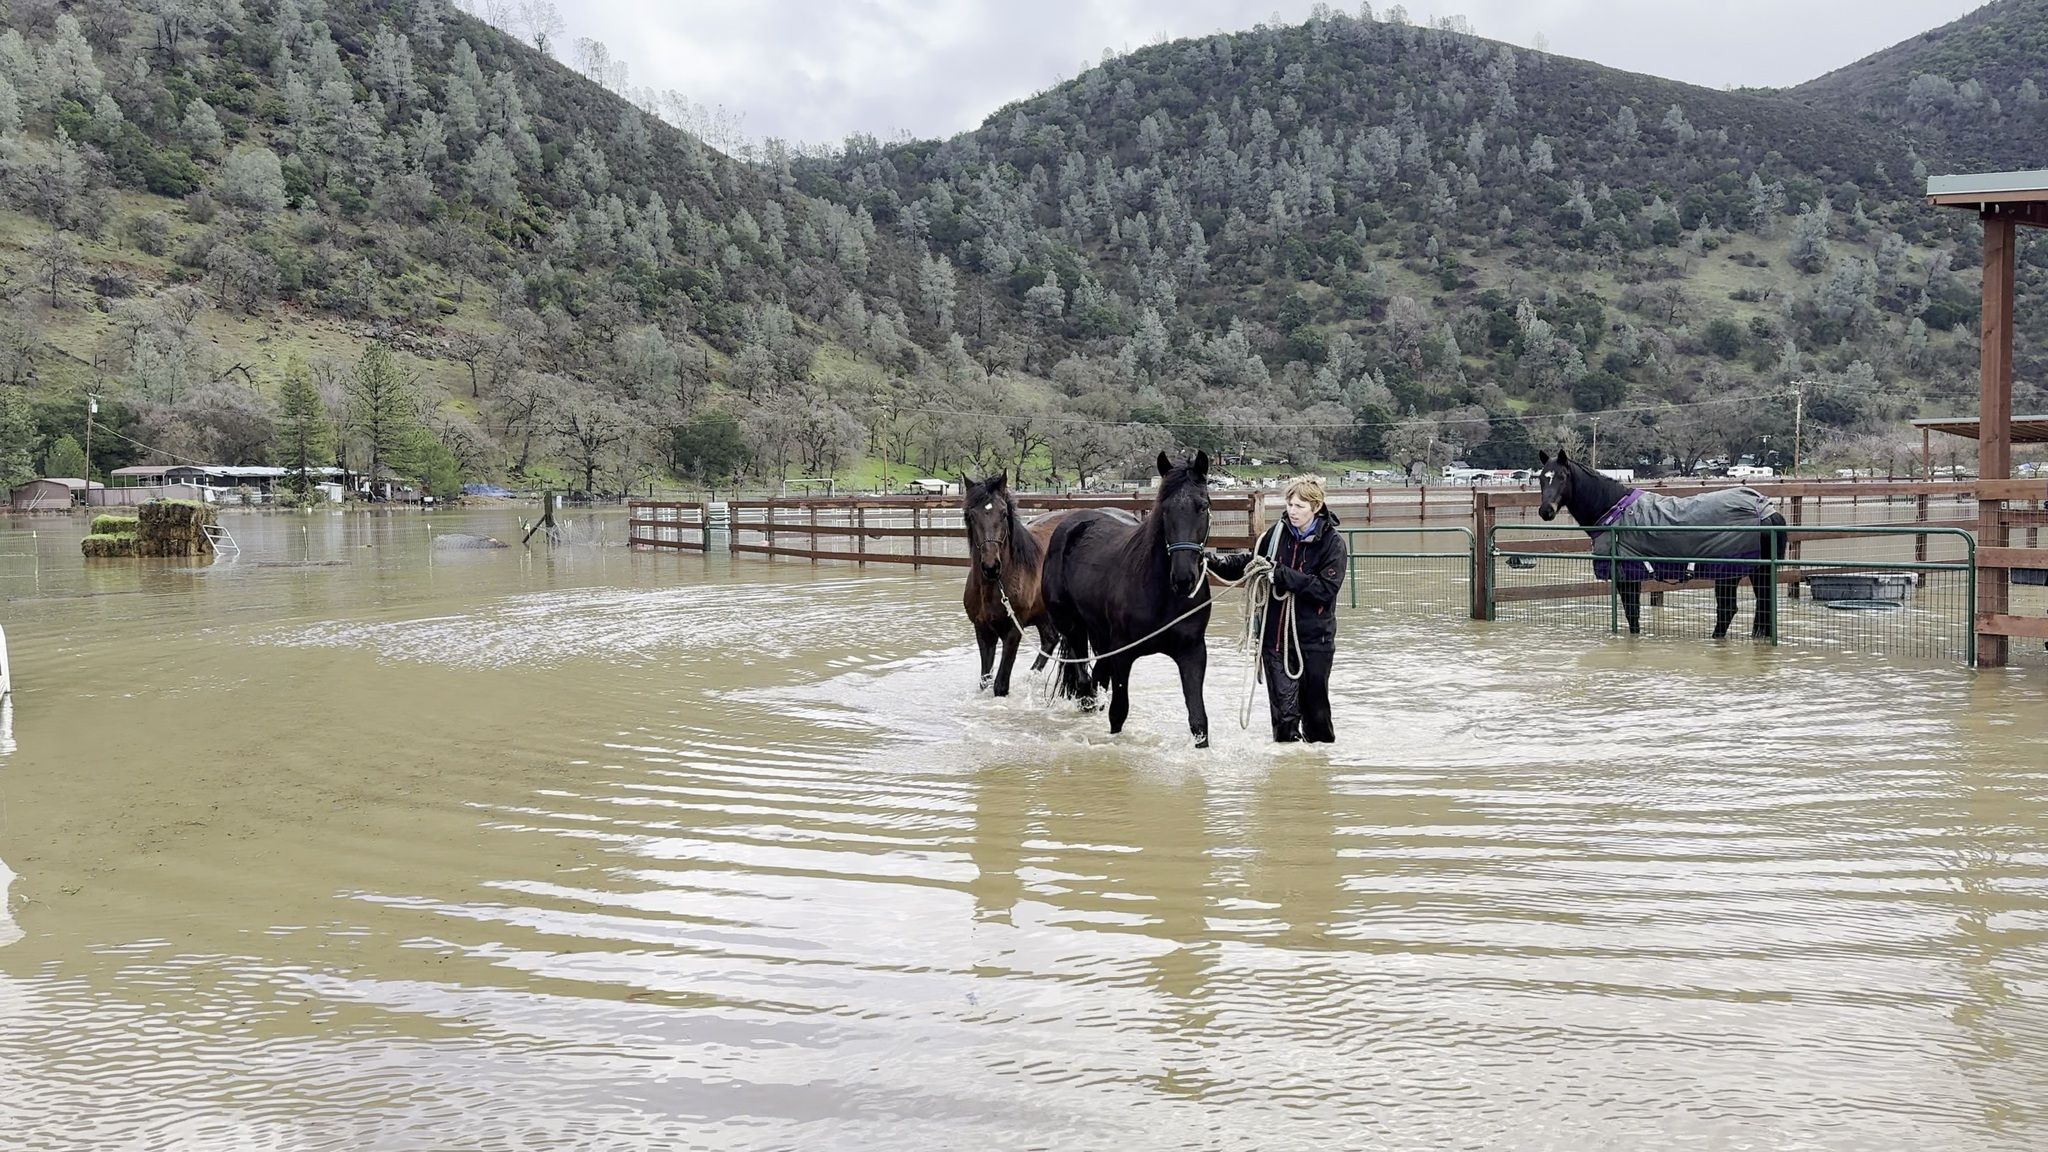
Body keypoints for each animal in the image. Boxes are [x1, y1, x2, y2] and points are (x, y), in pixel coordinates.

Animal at [960, 472, 1091, 700]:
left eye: (1003, 513)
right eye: (972, 515)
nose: (991, 566)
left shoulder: (1014, 630)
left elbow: (1000, 686)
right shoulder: (983, 631)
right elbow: (985, 681)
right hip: (1044, 615)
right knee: (1050, 640)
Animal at [1041, 450, 1218, 747]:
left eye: (1203, 506)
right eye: (1165, 509)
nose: (1184, 578)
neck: (1162, 596)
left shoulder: (1192, 652)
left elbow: (1199, 721)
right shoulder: (1123, 654)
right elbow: (1118, 712)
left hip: (1100, 635)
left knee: (1096, 679)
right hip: (1073, 628)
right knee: (1085, 684)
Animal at [1535, 448, 1787, 639]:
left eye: (1562, 477)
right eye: (1541, 478)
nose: (1546, 511)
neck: (1614, 510)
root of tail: (1766, 510)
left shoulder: (1627, 577)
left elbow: (1632, 615)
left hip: (1728, 574)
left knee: (1727, 611)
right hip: (1757, 572)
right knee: (1763, 606)